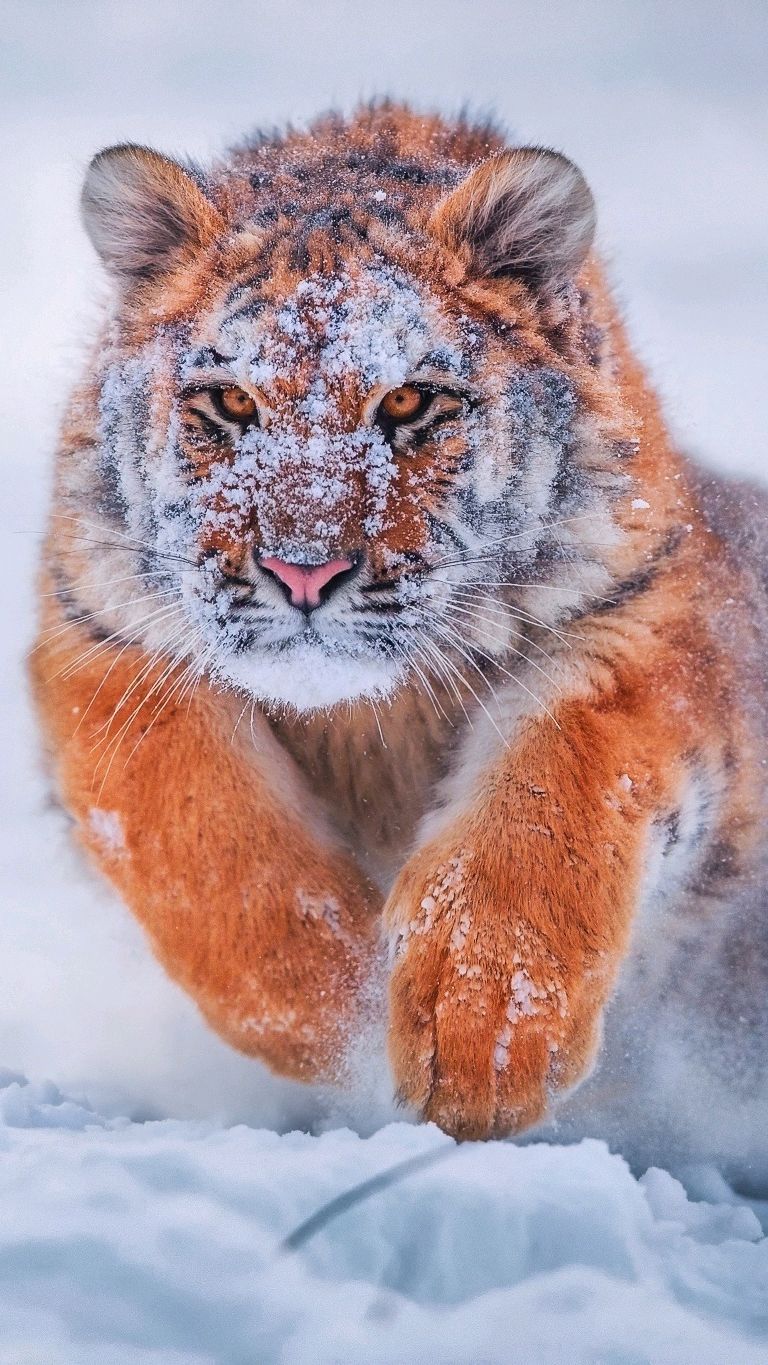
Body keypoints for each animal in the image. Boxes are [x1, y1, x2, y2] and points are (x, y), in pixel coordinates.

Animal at [30, 102, 768, 1160]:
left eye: (409, 401)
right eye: (232, 401)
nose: (302, 569)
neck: (364, 723)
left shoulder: (642, 634)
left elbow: (549, 804)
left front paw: (481, 1038)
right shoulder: (104, 646)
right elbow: (202, 839)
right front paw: (335, 1010)